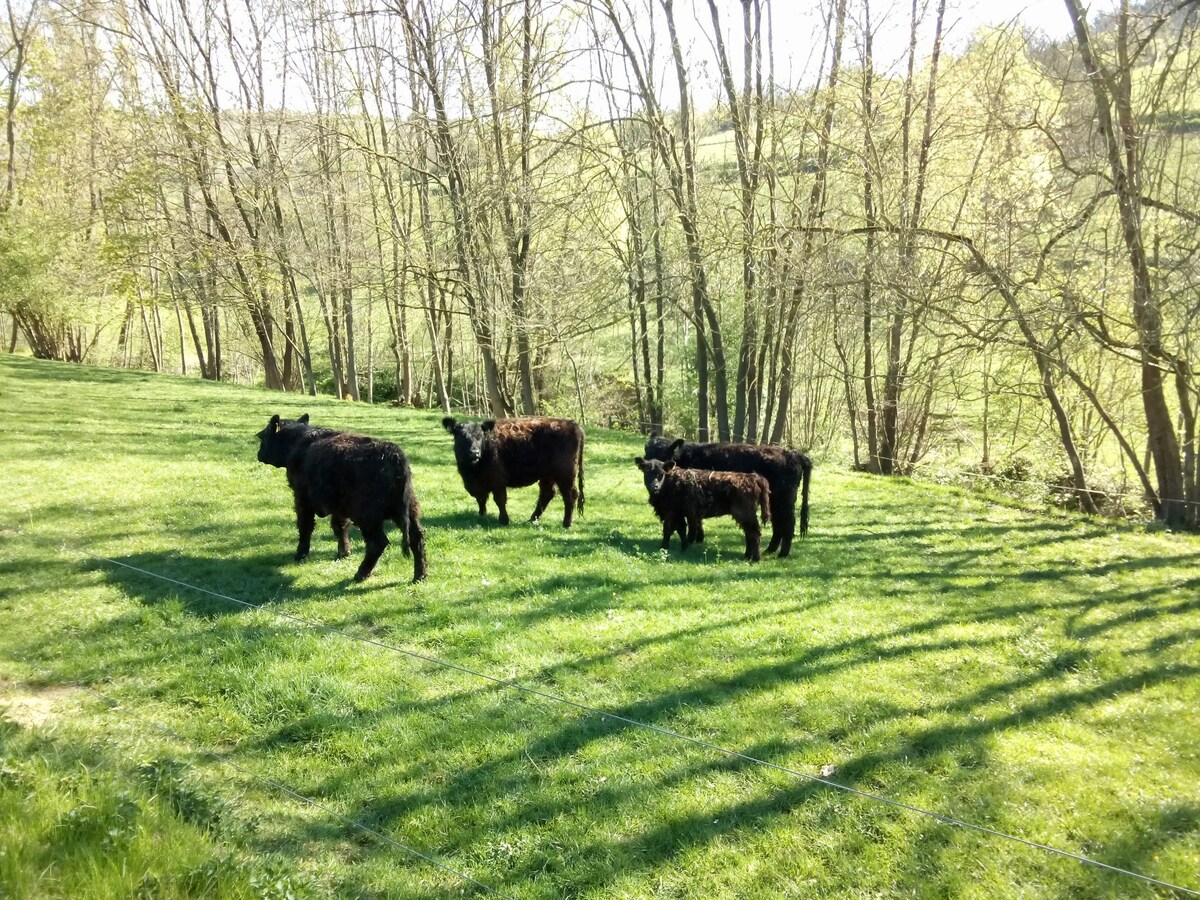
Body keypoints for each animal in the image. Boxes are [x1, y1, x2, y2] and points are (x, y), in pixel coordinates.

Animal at [255, 415, 429, 585]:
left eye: (264, 436)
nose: (259, 454)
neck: (299, 443)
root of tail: (393, 453)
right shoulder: (338, 507)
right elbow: (340, 526)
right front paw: (344, 552)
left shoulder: (302, 499)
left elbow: (305, 527)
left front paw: (300, 555)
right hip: (410, 510)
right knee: (417, 537)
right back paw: (420, 575)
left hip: (367, 516)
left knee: (378, 543)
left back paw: (361, 574)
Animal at [446, 417, 585, 528]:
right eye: (461, 436)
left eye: (479, 436)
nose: (474, 452)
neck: (472, 471)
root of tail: (571, 423)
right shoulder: (477, 484)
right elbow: (481, 499)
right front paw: (482, 515)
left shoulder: (498, 480)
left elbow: (500, 500)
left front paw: (504, 520)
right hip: (547, 475)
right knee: (547, 494)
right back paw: (532, 519)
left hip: (565, 474)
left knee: (570, 495)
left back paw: (566, 523)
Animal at [633, 460, 772, 561]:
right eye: (646, 472)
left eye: (661, 474)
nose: (654, 487)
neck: (669, 482)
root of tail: (753, 477)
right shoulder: (680, 513)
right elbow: (681, 530)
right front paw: (684, 547)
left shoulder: (670, 511)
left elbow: (667, 530)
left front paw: (664, 547)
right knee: (749, 533)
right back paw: (747, 556)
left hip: (745, 513)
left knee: (755, 533)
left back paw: (755, 558)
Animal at [643, 436, 811, 556]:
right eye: (646, 453)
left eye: (662, 454)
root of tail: (793, 454)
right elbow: (695, 522)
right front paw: (698, 539)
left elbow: (688, 523)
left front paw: (693, 539)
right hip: (775, 503)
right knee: (778, 525)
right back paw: (770, 549)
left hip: (784, 501)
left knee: (787, 524)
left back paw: (782, 553)